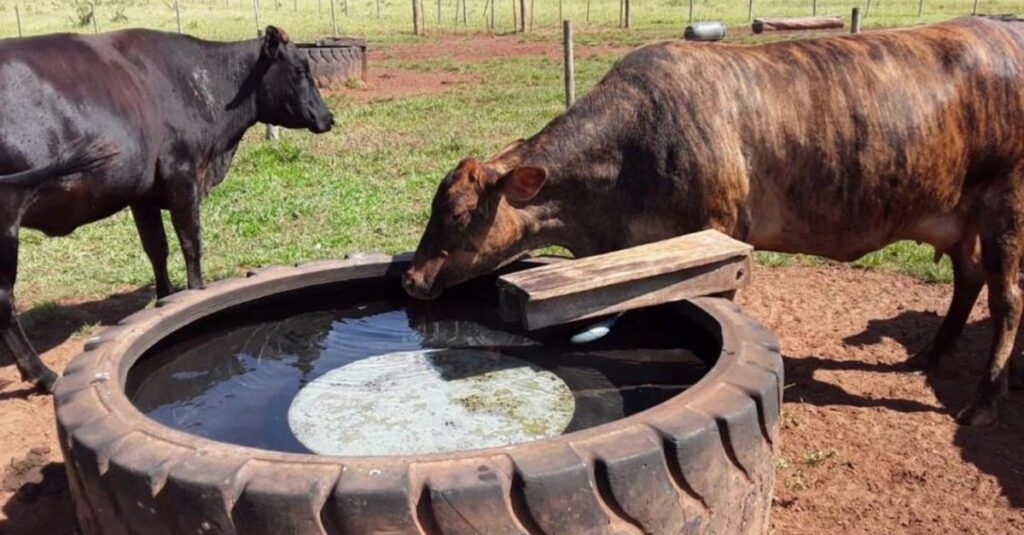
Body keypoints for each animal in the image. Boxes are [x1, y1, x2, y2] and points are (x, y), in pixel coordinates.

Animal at [0, 26, 331, 391]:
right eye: (300, 70)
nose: (328, 117)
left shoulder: (143, 194)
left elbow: (156, 249)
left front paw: (164, 302)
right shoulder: (183, 178)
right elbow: (191, 244)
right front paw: (195, 296)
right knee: (4, 301)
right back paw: (43, 374)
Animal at [403, 17, 1024, 424]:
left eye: (455, 212)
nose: (410, 277)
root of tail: (996, 27)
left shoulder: (717, 238)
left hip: (1005, 205)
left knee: (1006, 298)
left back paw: (983, 401)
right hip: (958, 216)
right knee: (968, 279)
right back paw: (930, 356)